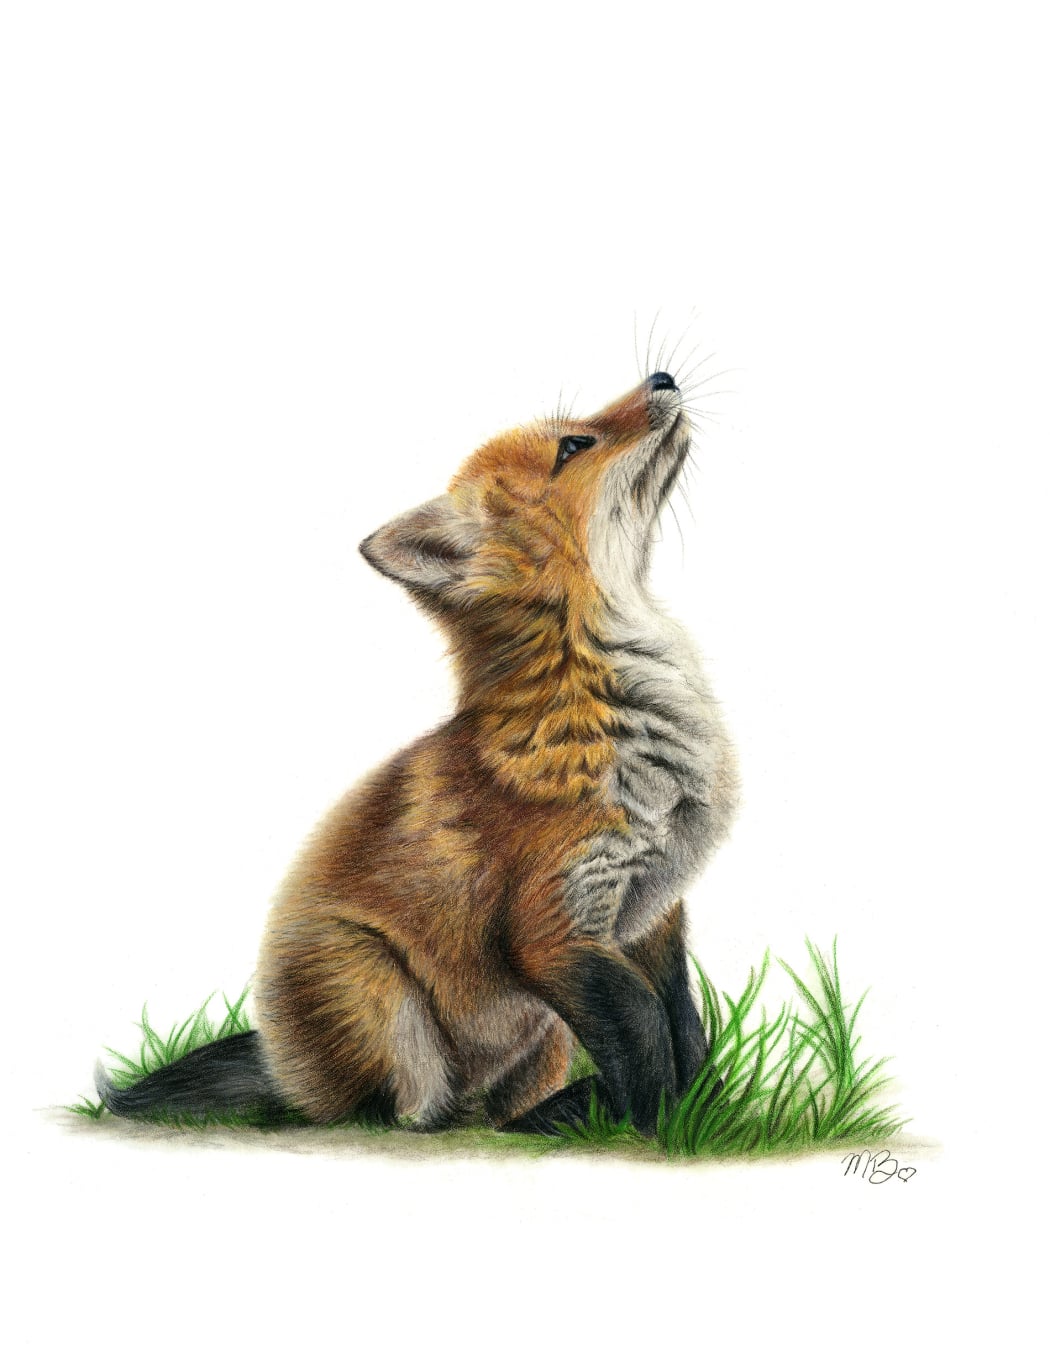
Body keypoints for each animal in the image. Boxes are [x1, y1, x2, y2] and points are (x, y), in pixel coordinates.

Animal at [95, 368, 738, 1135]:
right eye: (573, 446)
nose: (662, 377)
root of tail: (283, 1071)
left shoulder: (652, 915)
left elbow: (684, 1027)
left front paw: (700, 1111)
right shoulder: (551, 931)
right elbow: (644, 1030)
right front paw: (659, 1128)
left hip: (544, 1040)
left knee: (497, 1115)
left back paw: (554, 1113)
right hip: (380, 993)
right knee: (406, 1117)